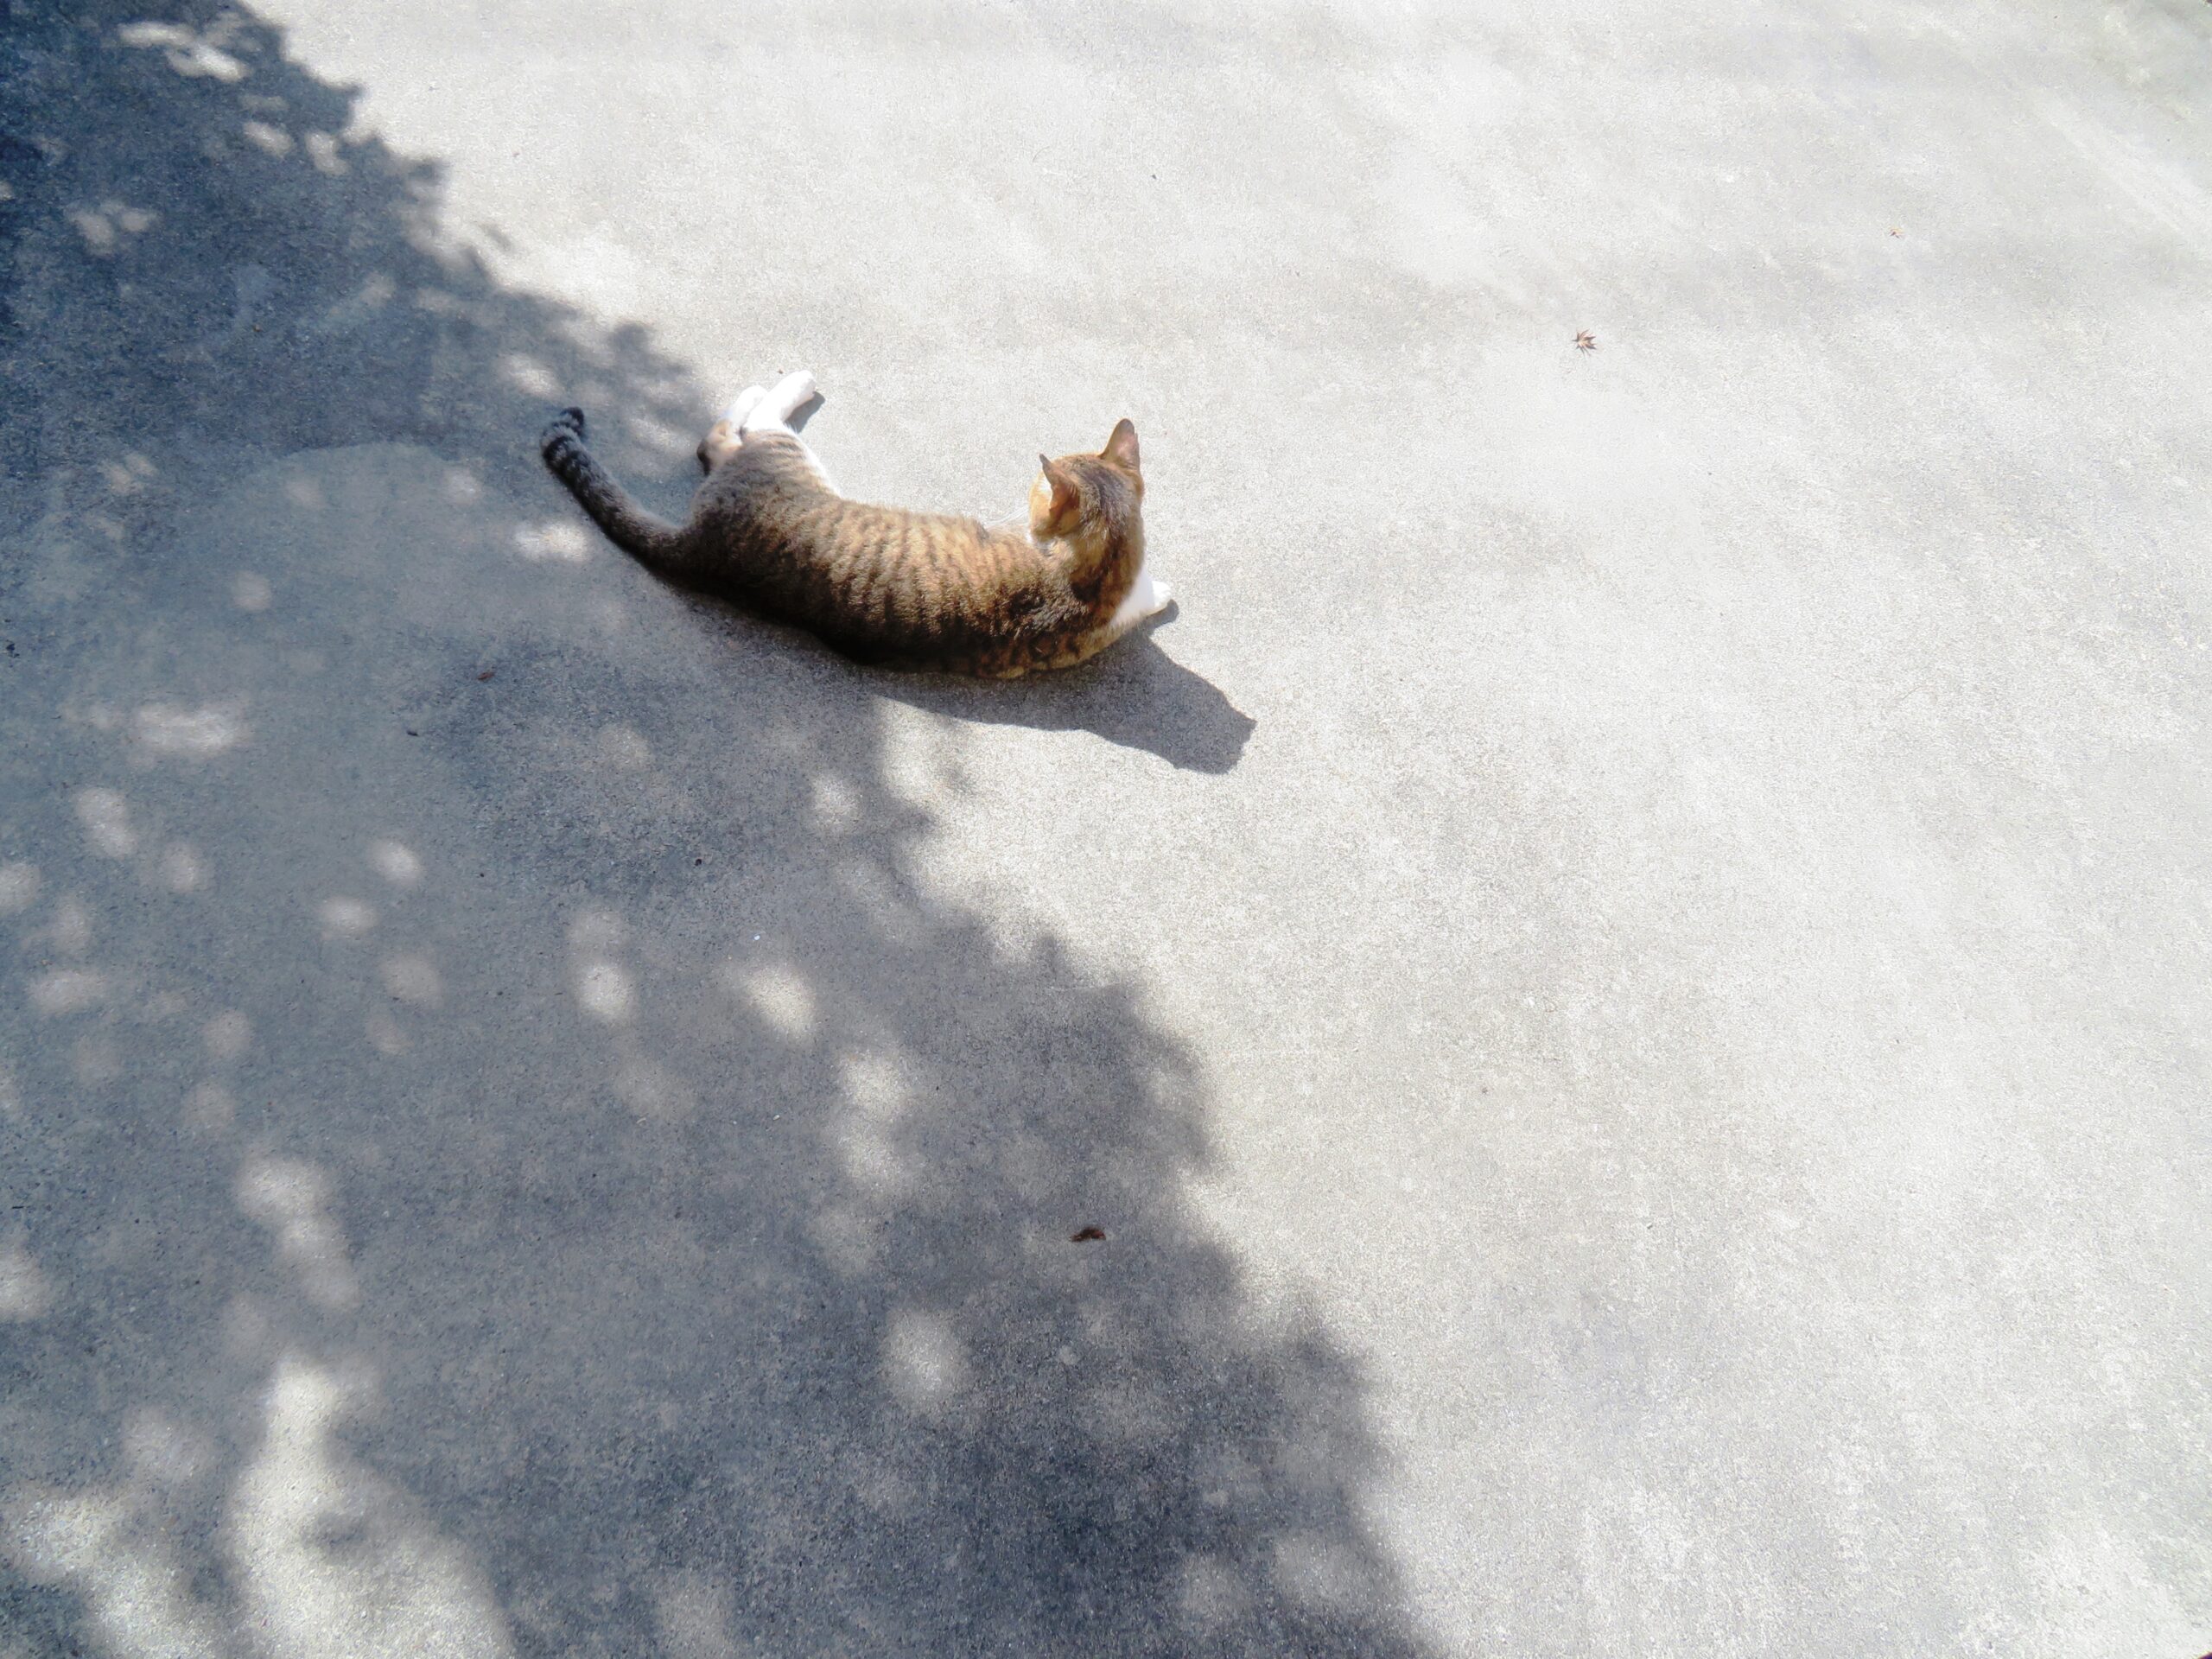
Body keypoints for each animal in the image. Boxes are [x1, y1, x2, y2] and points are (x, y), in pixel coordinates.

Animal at [542, 372, 1167, 677]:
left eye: (1039, 490)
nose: (1028, 490)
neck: (1093, 577)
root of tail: (703, 547)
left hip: (783, 458)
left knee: (729, 434)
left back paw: (780, 385)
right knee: (728, 434)